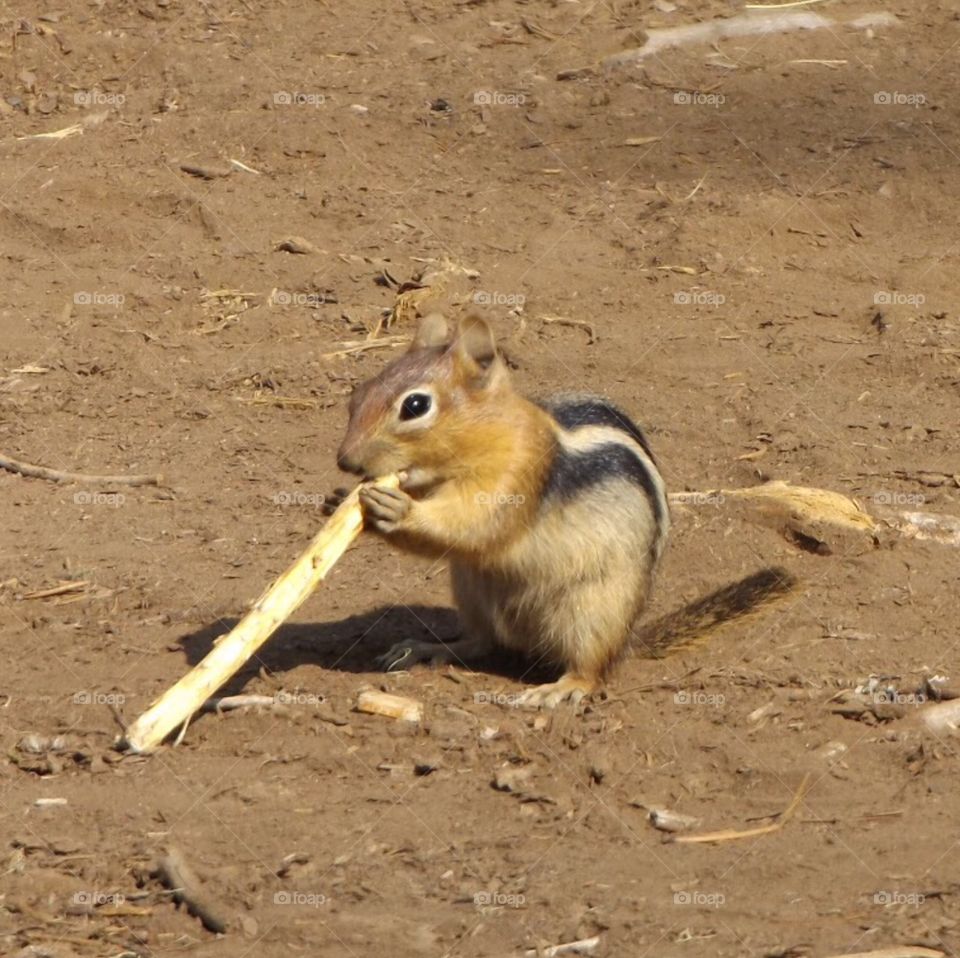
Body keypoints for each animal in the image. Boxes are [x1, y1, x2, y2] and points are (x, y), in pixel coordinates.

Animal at [337, 312, 795, 708]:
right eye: (360, 391)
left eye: (415, 406)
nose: (345, 462)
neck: (493, 431)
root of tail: (628, 638)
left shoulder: (513, 477)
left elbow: (473, 525)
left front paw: (395, 508)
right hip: (471, 591)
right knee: (482, 642)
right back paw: (427, 648)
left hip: (593, 609)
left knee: (591, 669)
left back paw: (562, 687)